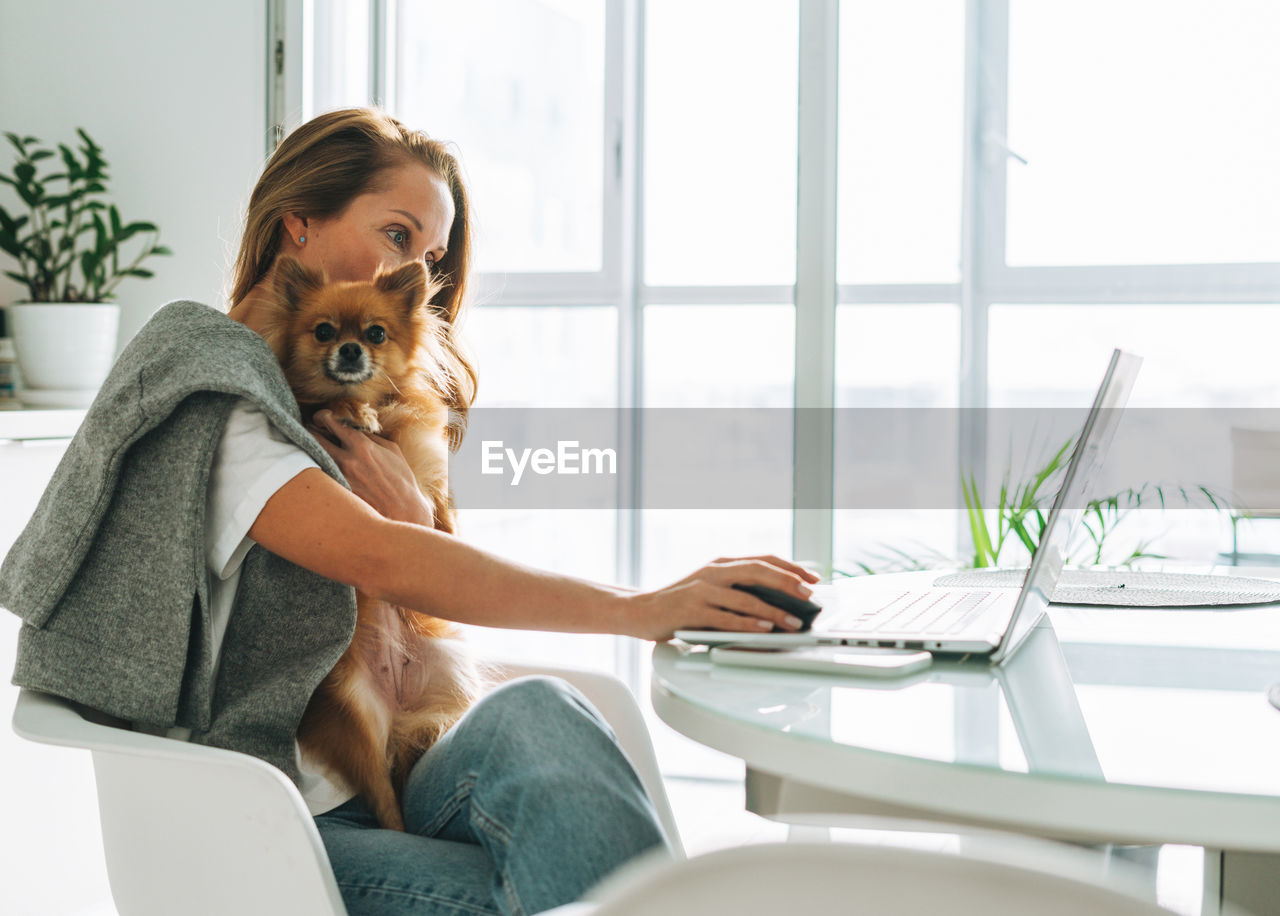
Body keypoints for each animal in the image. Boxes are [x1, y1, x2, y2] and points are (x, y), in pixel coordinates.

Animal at [259, 255, 483, 829]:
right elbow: (320, 406)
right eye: (323, 331)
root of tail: (397, 699)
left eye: (376, 333)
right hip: (355, 714)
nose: (351, 349)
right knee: (385, 802)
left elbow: (438, 521)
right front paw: (351, 412)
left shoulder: (427, 488)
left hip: (447, 689)